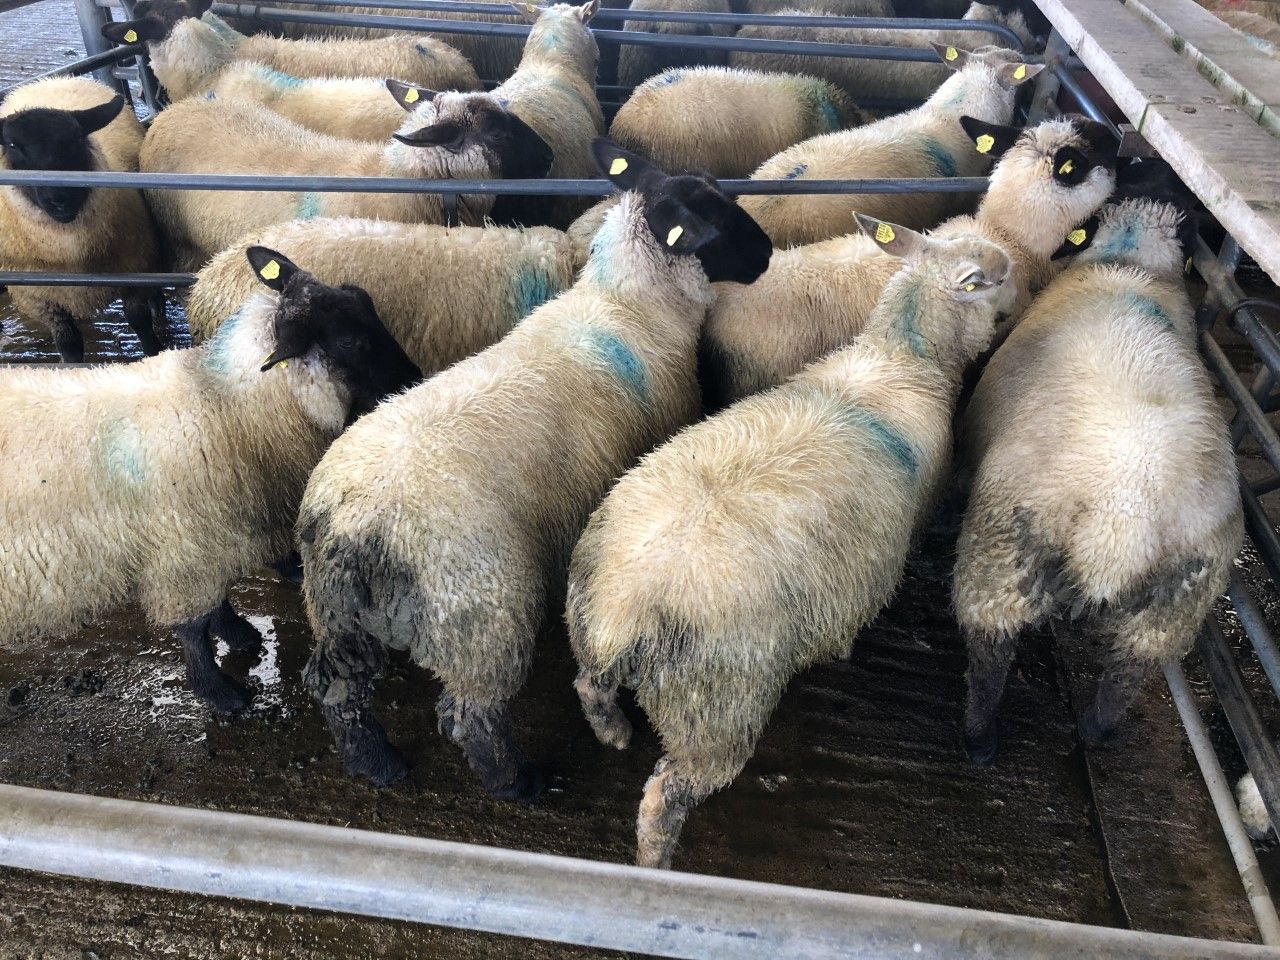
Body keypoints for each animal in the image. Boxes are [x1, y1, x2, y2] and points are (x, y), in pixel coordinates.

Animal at [0, 77, 164, 362]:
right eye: (12, 146)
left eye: (76, 137)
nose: (60, 198)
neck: (72, 254)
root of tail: (56, 79)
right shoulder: (41, 299)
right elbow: (68, 343)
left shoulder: (134, 272)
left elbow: (140, 323)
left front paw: (152, 354)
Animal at [0, 248, 420, 714]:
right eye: (349, 342)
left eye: (365, 301)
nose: (414, 381)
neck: (225, 406)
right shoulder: (185, 550)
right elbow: (194, 628)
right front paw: (219, 690)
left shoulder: (208, 541)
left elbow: (218, 601)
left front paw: (239, 634)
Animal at [296, 139, 772, 796]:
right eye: (717, 218)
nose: (769, 254)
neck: (630, 307)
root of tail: (355, 528)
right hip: (483, 621)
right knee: (471, 715)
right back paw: (517, 782)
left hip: (338, 617)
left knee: (338, 691)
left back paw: (378, 763)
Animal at [566, 215, 1012, 868]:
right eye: (994, 278)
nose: (1019, 301)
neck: (900, 362)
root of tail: (624, 610)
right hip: (717, 708)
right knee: (663, 799)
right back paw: (658, 863)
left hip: (591, 624)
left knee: (588, 686)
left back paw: (614, 732)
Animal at [952, 192, 1243, 764]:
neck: (1131, 264)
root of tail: (1123, 522)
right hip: (1172, 611)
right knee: (1126, 677)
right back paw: (1095, 729)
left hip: (998, 565)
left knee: (988, 660)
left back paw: (979, 741)